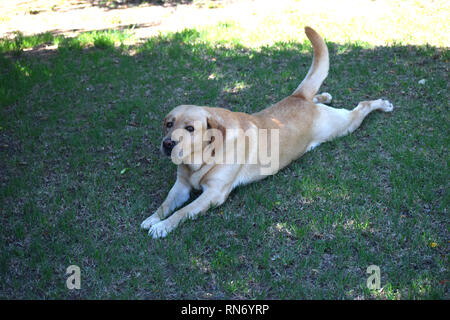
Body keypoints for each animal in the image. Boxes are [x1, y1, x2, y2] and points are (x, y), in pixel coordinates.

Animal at [141, 26, 394, 238]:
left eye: (190, 128)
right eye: (168, 124)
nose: (167, 144)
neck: (201, 160)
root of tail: (299, 97)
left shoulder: (213, 194)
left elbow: (182, 212)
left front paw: (162, 226)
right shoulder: (181, 186)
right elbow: (165, 204)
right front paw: (153, 218)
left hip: (342, 125)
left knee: (362, 106)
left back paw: (382, 104)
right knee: (320, 98)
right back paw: (324, 95)